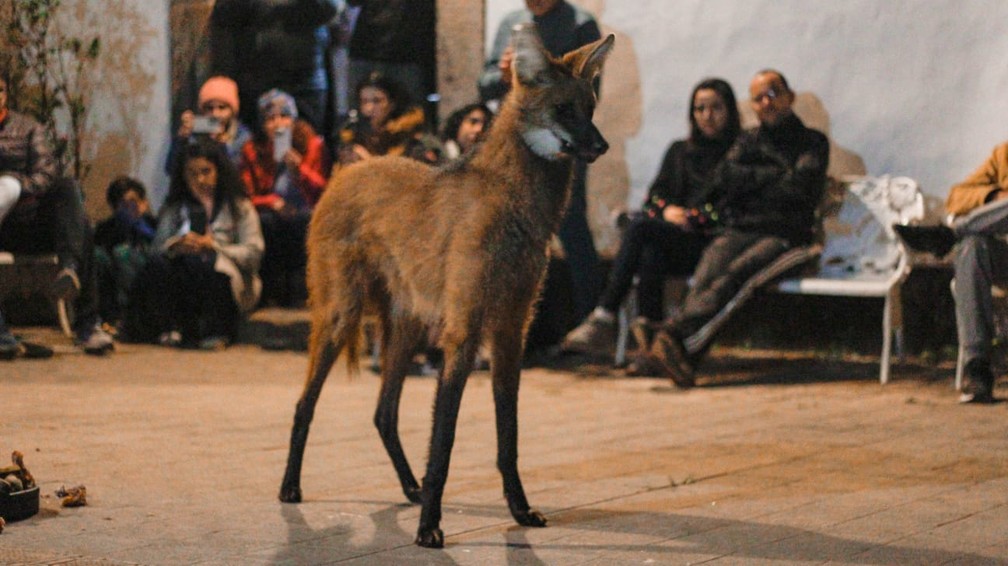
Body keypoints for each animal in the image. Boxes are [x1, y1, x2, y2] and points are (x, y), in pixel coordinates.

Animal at [278, 24, 612, 543]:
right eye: (564, 110)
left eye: (591, 109)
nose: (601, 146)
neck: (518, 208)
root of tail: (346, 171)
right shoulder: (464, 331)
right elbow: (445, 443)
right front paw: (429, 529)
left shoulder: (510, 330)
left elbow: (508, 437)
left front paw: (519, 511)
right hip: (342, 317)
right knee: (302, 406)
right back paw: (291, 488)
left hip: (407, 327)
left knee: (383, 413)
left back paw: (409, 489)